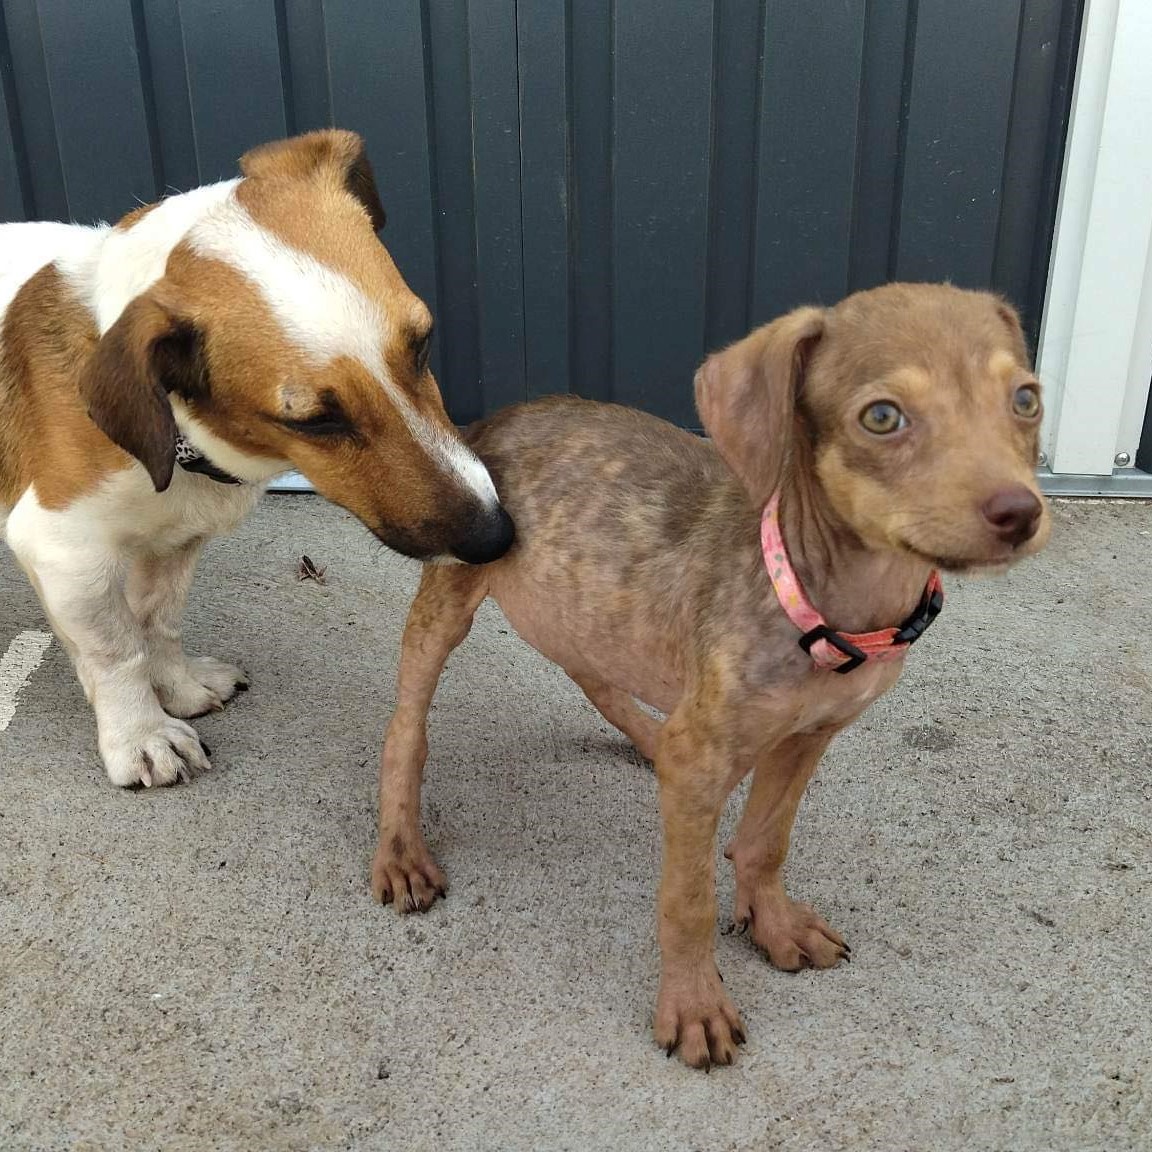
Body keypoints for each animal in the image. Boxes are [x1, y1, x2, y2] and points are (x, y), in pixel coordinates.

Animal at [0, 128, 513, 792]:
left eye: (422, 344)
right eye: (314, 421)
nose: (497, 538)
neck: (170, 442)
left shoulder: (174, 541)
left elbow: (157, 620)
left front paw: (177, 686)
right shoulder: (65, 553)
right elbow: (118, 651)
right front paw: (140, 734)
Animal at [370, 281, 1055, 1069]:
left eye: (1026, 399)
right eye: (882, 417)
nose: (1020, 512)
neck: (821, 595)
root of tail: (490, 421)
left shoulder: (810, 735)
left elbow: (764, 841)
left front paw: (773, 921)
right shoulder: (705, 760)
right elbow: (688, 900)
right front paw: (694, 1004)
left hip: (584, 606)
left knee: (596, 676)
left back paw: (649, 738)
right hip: (450, 605)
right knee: (407, 728)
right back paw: (401, 847)